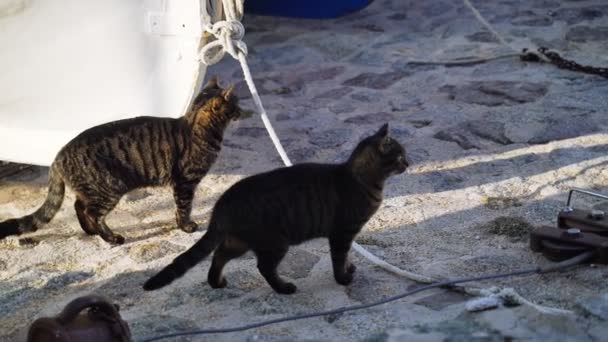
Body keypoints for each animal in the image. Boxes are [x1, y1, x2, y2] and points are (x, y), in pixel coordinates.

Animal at [0, 76, 242, 244]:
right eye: (236, 104)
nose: (243, 111)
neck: (197, 127)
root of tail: (58, 156)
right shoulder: (185, 182)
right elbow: (184, 207)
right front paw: (186, 226)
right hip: (110, 188)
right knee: (92, 212)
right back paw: (111, 238)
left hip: (93, 189)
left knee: (79, 206)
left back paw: (90, 232)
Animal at [142, 123, 408, 294]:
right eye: (400, 156)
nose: (409, 162)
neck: (362, 180)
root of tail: (221, 204)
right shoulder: (342, 233)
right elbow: (339, 257)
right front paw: (343, 278)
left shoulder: (347, 234)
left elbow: (348, 254)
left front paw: (350, 268)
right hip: (275, 242)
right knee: (263, 267)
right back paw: (283, 288)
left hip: (240, 241)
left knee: (219, 254)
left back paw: (216, 283)